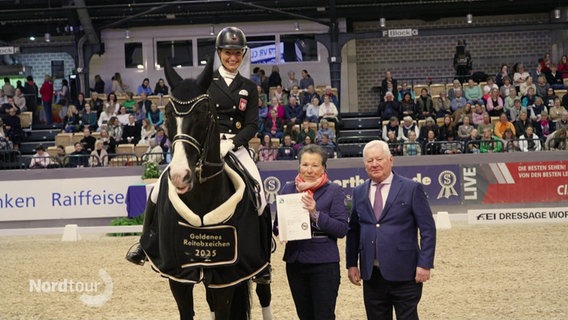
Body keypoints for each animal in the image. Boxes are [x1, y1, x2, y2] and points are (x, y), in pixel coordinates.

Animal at [138, 58, 270, 318]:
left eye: (203, 113)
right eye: (168, 113)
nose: (180, 175)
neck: (201, 198)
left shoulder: (226, 276)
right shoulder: (177, 275)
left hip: (258, 265)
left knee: (264, 294)